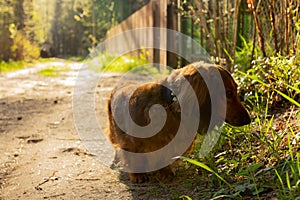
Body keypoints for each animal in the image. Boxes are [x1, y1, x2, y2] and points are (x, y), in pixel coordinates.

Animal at [106, 62, 251, 183]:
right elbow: (134, 157)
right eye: (229, 93)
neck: (169, 106)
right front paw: (137, 175)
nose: (249, 120)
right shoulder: (131, 142)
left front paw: (165, 172)